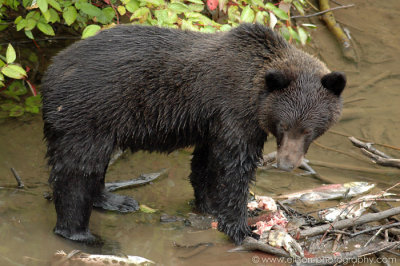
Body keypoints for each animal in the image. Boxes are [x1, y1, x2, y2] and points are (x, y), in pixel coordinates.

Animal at [41, 23, 346, 244]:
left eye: (308, 130)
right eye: (283, 126)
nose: (285, 164)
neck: (255, 96)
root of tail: (50, 72)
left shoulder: (212, 121)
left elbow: (206, 162)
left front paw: (208, 205)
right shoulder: (233, 111)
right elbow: (234, 166)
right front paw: (241, 226)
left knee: (94, 165)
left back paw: (115, 200)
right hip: (89, 113)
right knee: (79, 169)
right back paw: (81, 233)